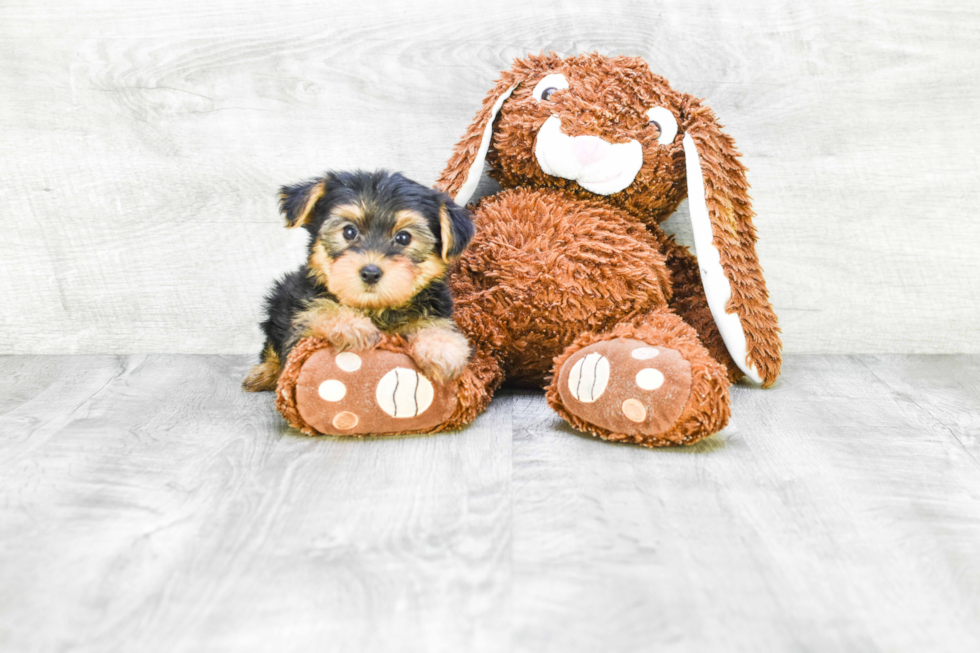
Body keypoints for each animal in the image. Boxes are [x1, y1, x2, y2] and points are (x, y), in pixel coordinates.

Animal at [244, 169, 474, 392]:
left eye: (404, 238)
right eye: (349, 231)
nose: (370, 273)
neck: (376, 309)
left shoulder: (436, 308)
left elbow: (437, 325)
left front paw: (442, 348)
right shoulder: (300, 321)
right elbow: (319, 309)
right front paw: (352, 325)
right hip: (279, 301)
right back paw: (264, 373)